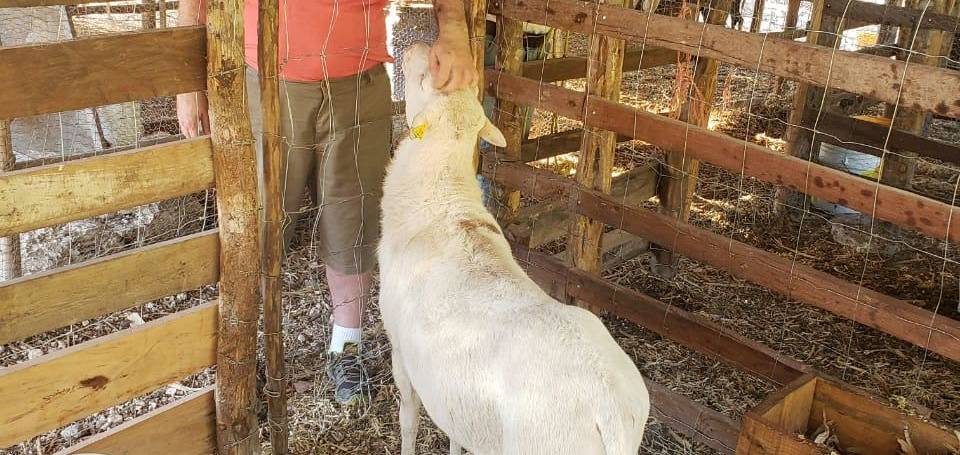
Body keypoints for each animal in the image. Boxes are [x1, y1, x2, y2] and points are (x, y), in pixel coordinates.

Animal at [378, 41, 648, 452]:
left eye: (424, 78)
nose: (419, 46)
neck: (441, 194)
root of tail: (610, 412)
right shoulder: (450, 391)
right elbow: (454, 430)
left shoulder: (401, 352)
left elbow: (408, 420)